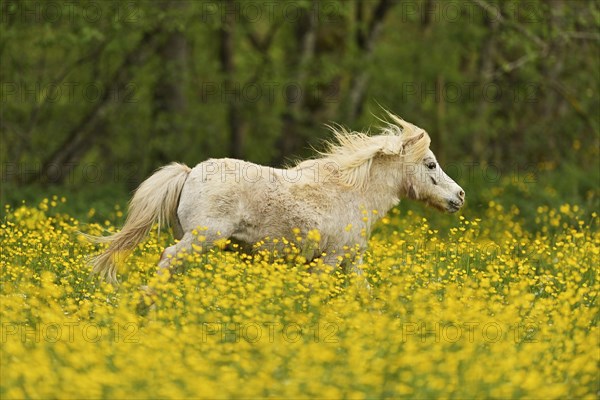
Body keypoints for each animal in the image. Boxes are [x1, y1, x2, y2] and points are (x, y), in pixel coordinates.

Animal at [90, 111, 464, 282]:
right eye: (431, 164)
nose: (459, 196)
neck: (352, 194)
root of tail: (189, 173)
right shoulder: (329, 260)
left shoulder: (351, 262)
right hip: (200, 238)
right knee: (168, 259)